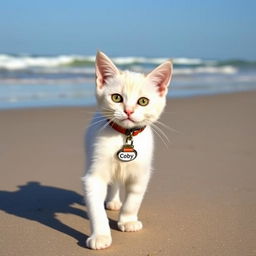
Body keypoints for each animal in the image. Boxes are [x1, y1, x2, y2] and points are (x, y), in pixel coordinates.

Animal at [82, 51, 173, 249]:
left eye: (143, 101)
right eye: (116, 98)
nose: (129, 111)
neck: (125, 135)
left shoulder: (141, 173)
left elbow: (134, 199)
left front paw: (128, 220)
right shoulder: (94, 176)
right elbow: (95, 207)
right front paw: (100, 236)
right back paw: (113, 201)